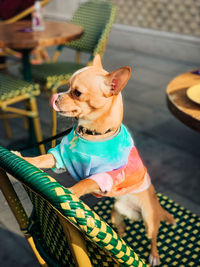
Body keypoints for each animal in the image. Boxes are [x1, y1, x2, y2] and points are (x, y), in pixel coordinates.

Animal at [14, 54, 175, 266]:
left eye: (77, 93)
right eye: (67, 87)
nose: (56, 96)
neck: (90, 135)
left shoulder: (106, 176)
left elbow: (85, 182)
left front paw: (69, 194)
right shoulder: (61, 157)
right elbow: (42, 159)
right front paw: (23, 158)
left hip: (149, 219)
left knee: (153, 237)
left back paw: (154, 256)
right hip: (116, 214)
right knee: (121, 228)